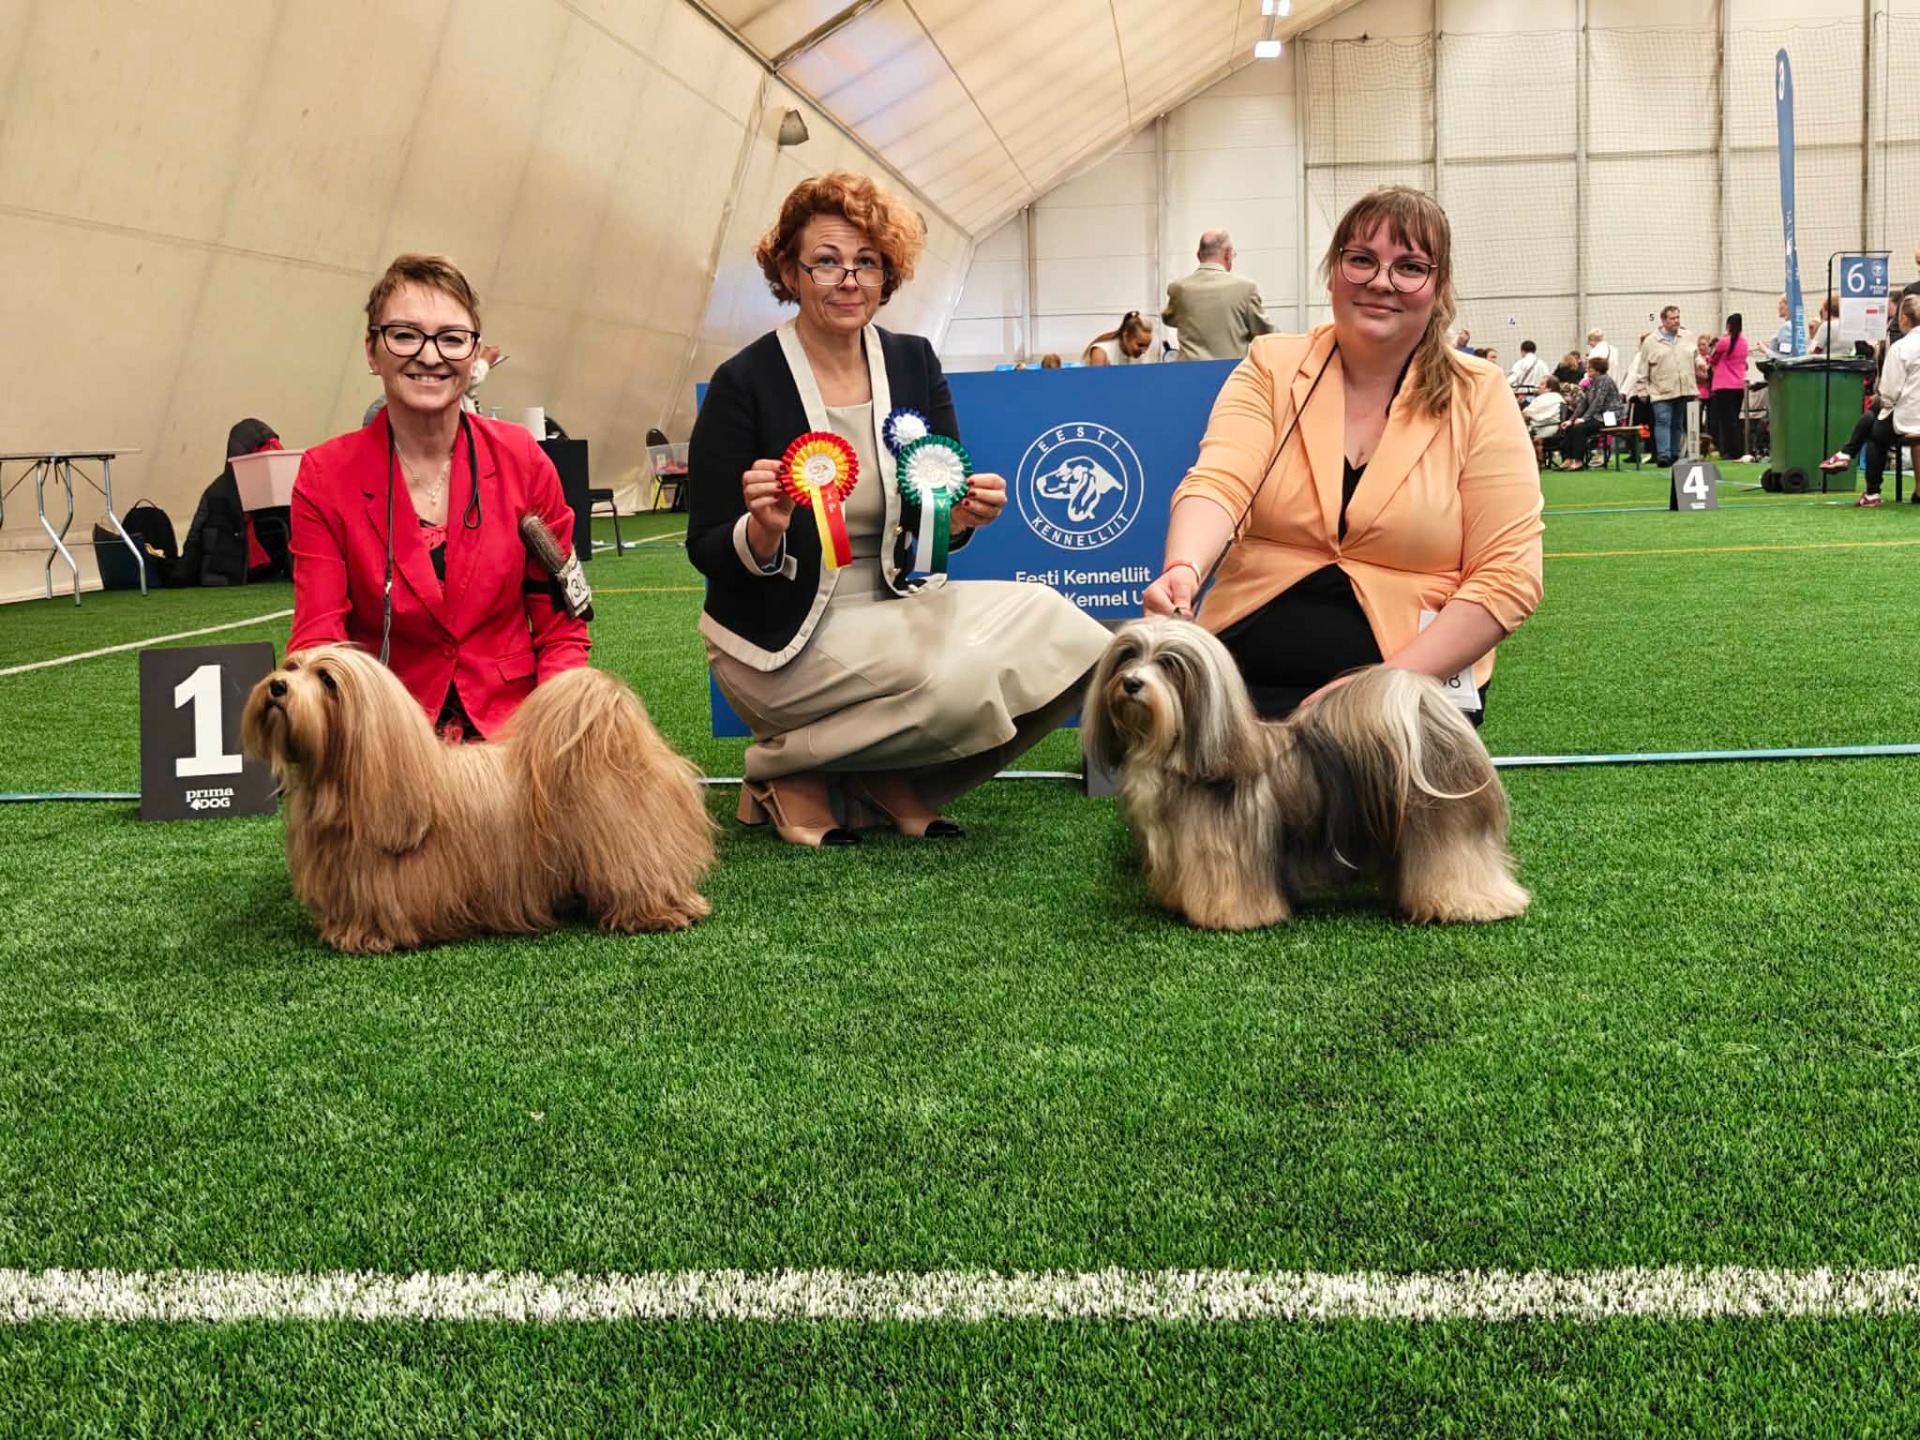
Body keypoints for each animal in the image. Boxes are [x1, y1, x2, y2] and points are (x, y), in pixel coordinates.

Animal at [242, 645, 714, 953]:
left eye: (326, 679)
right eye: (292, 665)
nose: (278, 685)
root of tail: (621, 737)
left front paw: (371, 938)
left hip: (626, 847)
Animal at [1082, 617, 1527, 930]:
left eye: (1169, 663)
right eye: (1128, 654)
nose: (1132, 683)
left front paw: (1228, 917)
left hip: (1447, 835)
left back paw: (1473, 904)